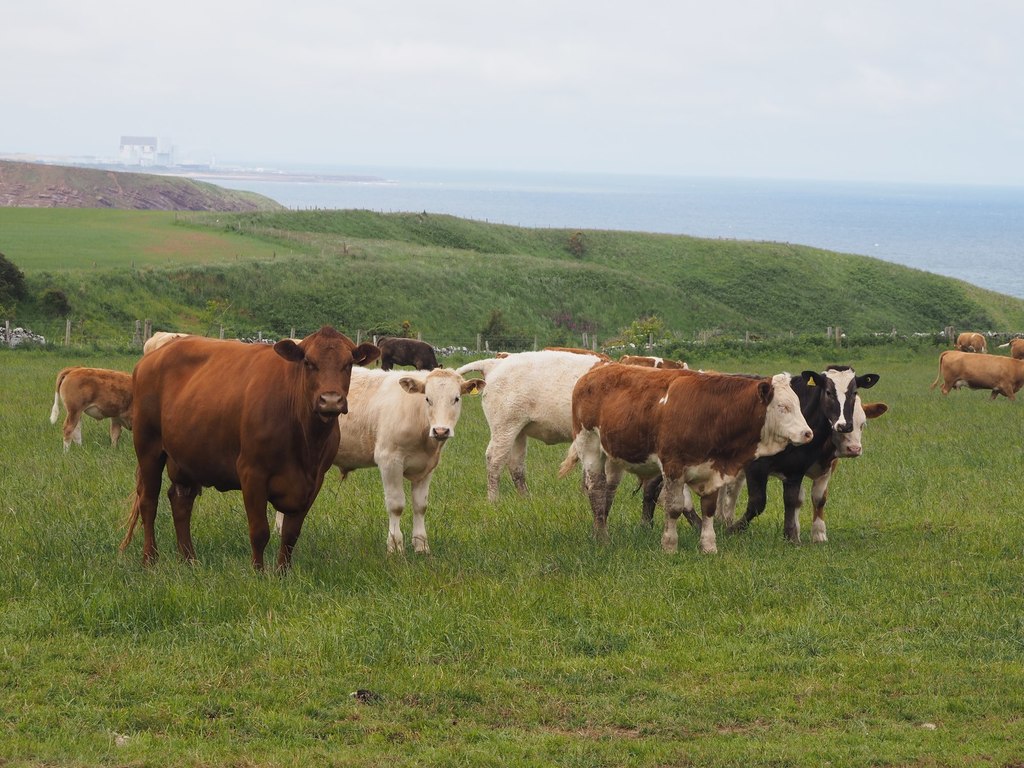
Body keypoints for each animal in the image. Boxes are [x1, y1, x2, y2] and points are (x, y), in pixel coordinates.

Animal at [119, 325, 382, 573]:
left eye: (348, 364)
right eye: (308, 362)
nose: (330, 401)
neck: (306, 441)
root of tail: (155, 354)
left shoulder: (314, 480)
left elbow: (291, 534)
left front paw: (282, 573)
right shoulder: (252, 472)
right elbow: (259, 531)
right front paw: (258, 573)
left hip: (187, 454)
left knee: (181, 501)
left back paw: (189, 560)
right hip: (148, 446)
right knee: (149, 502)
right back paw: (150, 559)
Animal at [276, 366, 483, 552]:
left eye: (456, 399)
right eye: (427, 399)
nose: (441, 431)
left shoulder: (427, 467)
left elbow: (420, 506)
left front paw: (421, 546)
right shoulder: (389, 460)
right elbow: (396, 505)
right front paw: (395, 546)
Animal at [456, 350, 606, 505]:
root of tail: (496, 363)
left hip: (518, 431)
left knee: (516, 464)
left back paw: (526, 499)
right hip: (504, 426)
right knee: (495, 459)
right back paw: (494, 501)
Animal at [565, 364, 811, 552]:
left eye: (799, 404)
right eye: (782, 407)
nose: (808, 433)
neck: (709, 412)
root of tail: (595, 371)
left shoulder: (713, 469)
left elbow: (709, 508)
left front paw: (709, 546)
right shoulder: (673, 466)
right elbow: (674, 507)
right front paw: (669, 546)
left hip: (613, 456)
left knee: (608, 490)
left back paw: (598, 530)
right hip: (589, 444)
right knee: (596, 489)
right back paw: (602, 538)